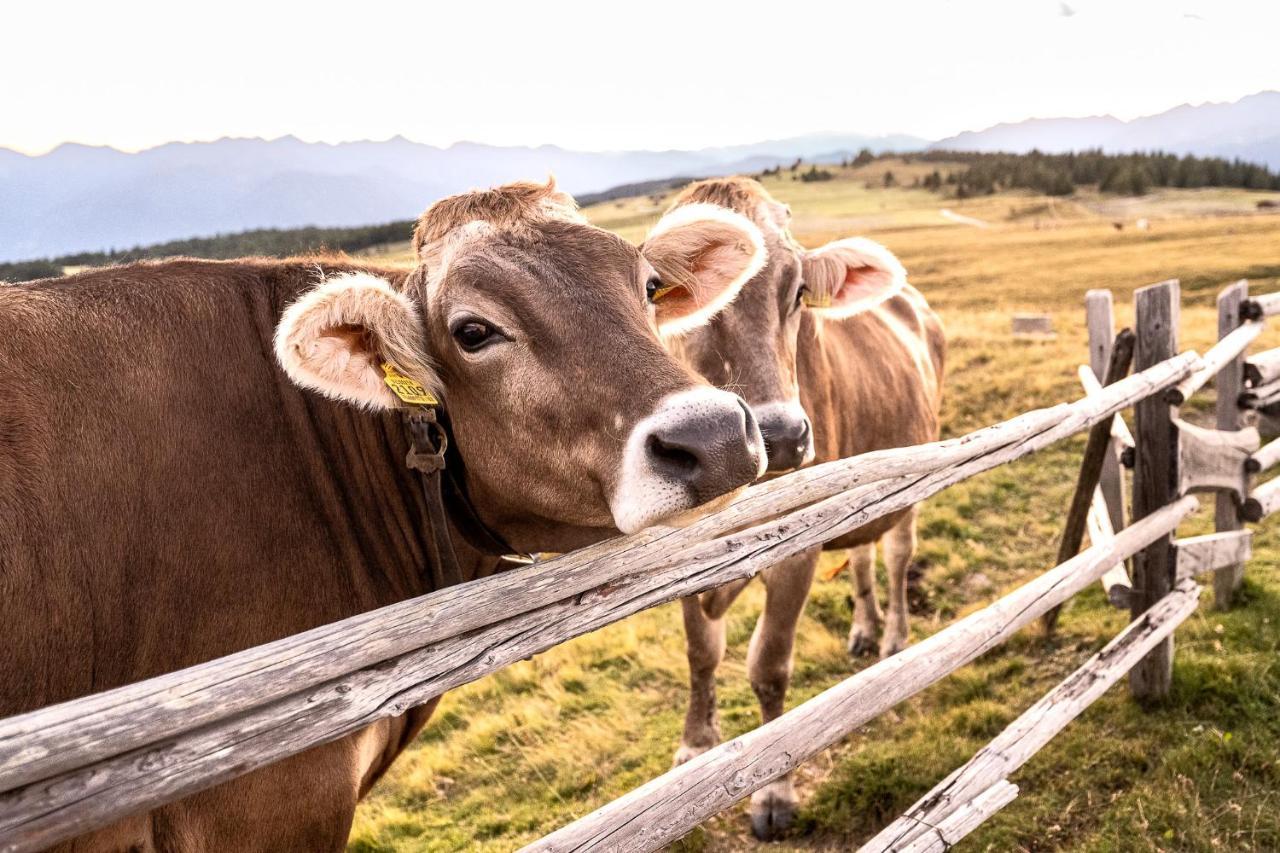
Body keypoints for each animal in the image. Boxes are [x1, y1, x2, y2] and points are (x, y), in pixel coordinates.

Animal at [655, 174, 947, 835]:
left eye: (797, 292)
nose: (782, 437)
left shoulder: (797, 551)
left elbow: (768, 664)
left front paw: (774, 793)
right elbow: (701, 652)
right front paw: (694, 744)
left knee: (896, 553)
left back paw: (893, 635)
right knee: (862, 554)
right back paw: (864, 627)